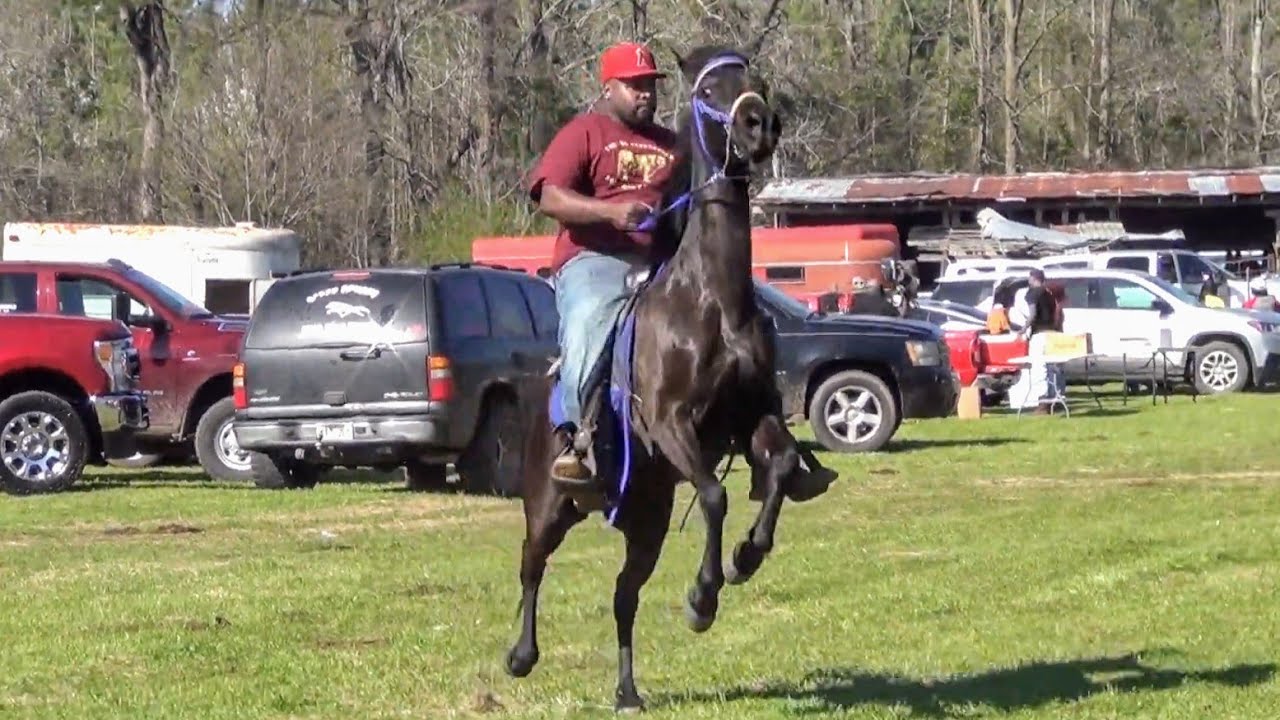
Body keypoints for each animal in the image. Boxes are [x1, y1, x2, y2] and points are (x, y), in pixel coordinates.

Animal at [504, 44, 839, 712]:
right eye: (710, 89)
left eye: (759, 81)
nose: (759, 125)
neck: (713, 301)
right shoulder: (670, 424)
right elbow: (713, 496)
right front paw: (704, 597)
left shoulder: (754, 417)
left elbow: (782, 467)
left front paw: (744, 558)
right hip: (549, 503)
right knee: (532, 565)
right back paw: (521, 656)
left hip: (648, 517)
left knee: (623, 595)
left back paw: (627, 691)